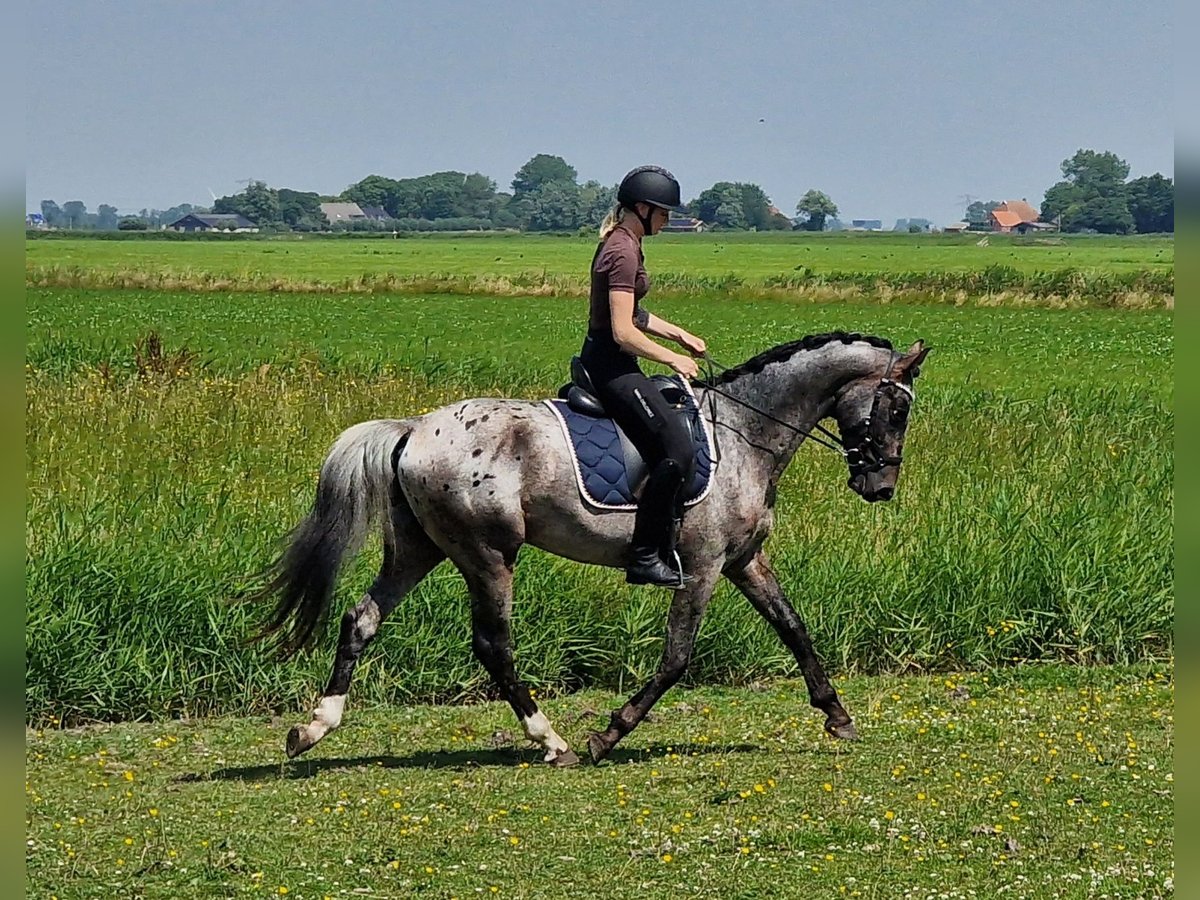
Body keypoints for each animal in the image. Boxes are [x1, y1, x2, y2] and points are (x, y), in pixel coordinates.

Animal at [253, 331, 926, 768]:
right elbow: (677, 658)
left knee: (361, 620)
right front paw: (611, 734)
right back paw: (554, 743)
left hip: (420, 550)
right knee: (493, 645)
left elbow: (793, 628)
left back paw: (312, 729)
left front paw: (837, 715)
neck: (746, 433)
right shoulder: (703, 566)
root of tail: (414, 429)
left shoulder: (742, 561)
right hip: (487, 555)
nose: (881, 487)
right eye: (896, 409)